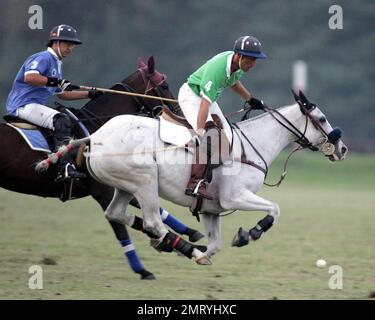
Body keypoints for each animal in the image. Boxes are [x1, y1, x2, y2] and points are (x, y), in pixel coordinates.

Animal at [0, 57, 203, 280]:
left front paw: (189, 234)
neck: (99, 127)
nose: (182, 118)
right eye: (164, 85)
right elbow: (122, 229)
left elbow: (153, 210)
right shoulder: (103, 191)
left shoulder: (116, 184)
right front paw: (145, 268)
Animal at [72, 89, 348, 262]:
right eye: (322, 118)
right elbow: (275, 209)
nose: (343, 149)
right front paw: (250, 233)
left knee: (115, 213)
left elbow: (216, 245)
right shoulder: (234, 197)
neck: (253, 144)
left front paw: (206, 254)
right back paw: (182, 247)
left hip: (125, 185)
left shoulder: (210, 209)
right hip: (144, 181)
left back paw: (177, 247)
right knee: (153, 222)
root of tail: (94, 137)